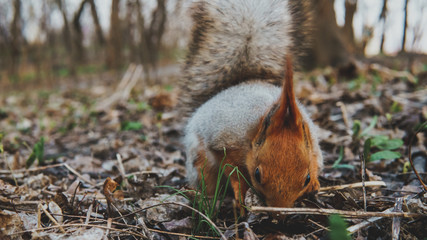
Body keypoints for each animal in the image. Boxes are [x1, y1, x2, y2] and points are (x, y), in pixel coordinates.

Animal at [181, 0, 324, 209]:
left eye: (305, 179)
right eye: (257, 174)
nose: (278, 210)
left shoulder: (312, 148)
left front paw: (315, 183)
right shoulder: (225, 143)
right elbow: (232, 170)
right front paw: (241, 193)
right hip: (200, 161)